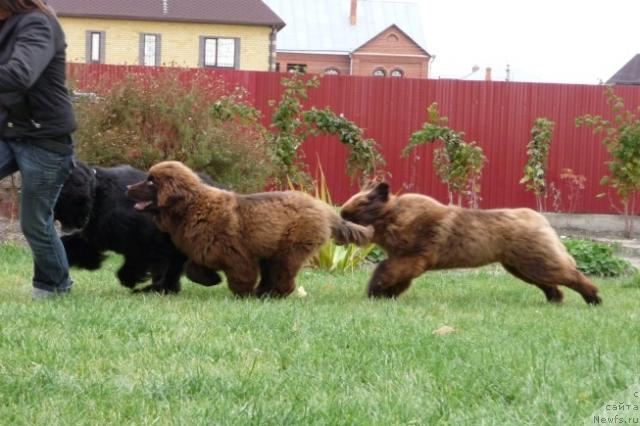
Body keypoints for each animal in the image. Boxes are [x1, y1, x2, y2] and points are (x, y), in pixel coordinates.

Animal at [55, 161, 225, 292]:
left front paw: (132, 280)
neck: (99, 195)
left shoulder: (149, 244)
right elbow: (71, 247)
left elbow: (135, 265)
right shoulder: (93, 237)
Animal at [125, 161, 372, 298]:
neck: (191, 206)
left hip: (289, 249)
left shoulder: (237, 255)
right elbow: (192, 269)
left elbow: (241, 276)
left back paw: (272, 295)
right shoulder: (205, 250)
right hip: (271, 252)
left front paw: (242, 294)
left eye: (151, 182)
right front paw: (212, 279)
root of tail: (324, 208)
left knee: (284, 277)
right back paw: (264, 294)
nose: (127, 187)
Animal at [342, 181, 604, 304]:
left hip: (536, 263)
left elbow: (383, 271)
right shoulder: (405, 262)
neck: (392, 215)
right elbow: (395, 279)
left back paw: (594, 299)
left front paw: (375, 292)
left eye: (361, 205)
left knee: (573, 276)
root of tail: (540, 219)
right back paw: (554, 301)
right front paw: (385, 295)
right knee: (553, 286)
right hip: (523, 267)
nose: (342, 214)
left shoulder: (411, 258)